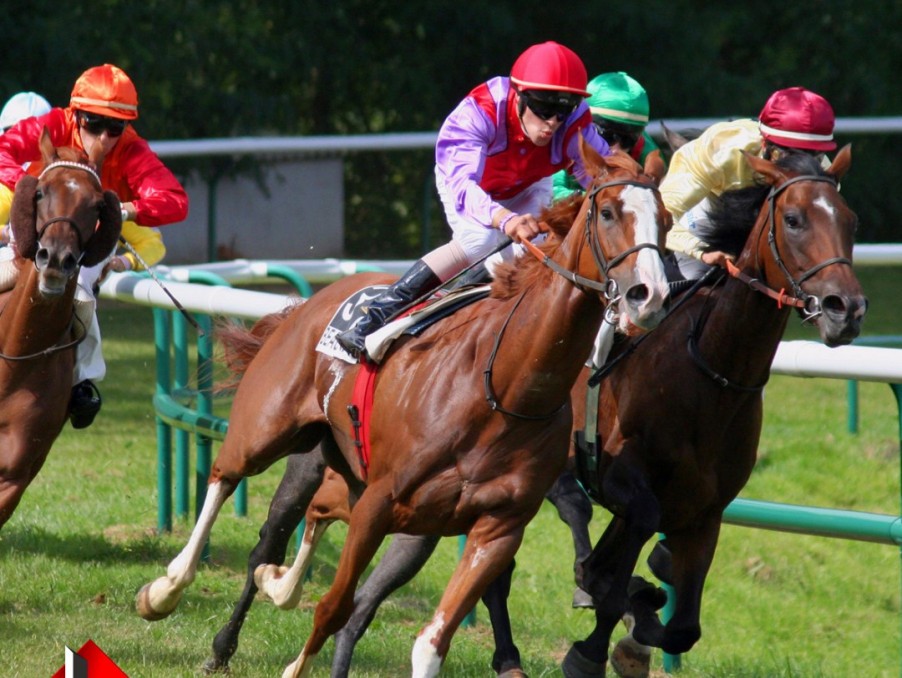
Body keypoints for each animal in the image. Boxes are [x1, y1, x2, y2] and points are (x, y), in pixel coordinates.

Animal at [134, 145, 672, 678]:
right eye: (608, 212)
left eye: (665, 221)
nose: (649, 296)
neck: (507, 389)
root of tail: (307, 304)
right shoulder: (381, 502)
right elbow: (334, 607)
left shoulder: (498, 527)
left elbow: (431, 643)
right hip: (266, 431)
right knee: (225, 478)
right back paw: (166, 592)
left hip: (348, 470)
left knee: (313, 511)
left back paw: (272, 582)